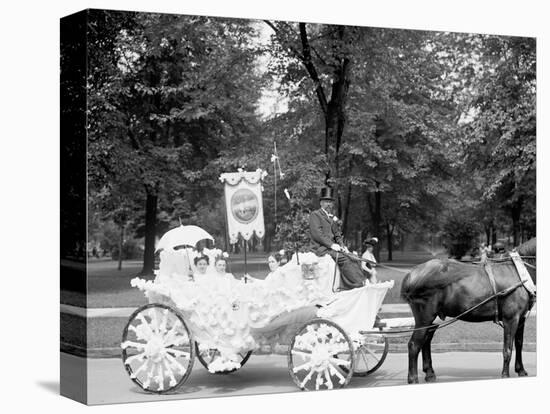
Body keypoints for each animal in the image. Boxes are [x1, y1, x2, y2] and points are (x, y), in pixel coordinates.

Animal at [404, 239, 536, 384]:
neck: (517, 272)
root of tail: (413, 273)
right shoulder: (511, 319)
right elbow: (507, 348)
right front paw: (505, 375)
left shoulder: (521, 318)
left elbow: (519, 343)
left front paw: (521, 370)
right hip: (424, 318)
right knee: (414, 344)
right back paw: (413, 378)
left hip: (432, 319)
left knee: (426, 340)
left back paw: (429, 373)